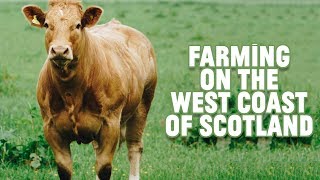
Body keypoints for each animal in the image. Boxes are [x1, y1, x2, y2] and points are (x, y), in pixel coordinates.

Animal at [21, 0, 157, 179]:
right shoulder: (51, 127)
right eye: (47, 24)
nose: (59, 50)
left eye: (78, 25)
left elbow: (104, 168)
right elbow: (64, 169)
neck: (71, 91)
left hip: (143, 104)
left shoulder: (110, 124)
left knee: (134, 147)